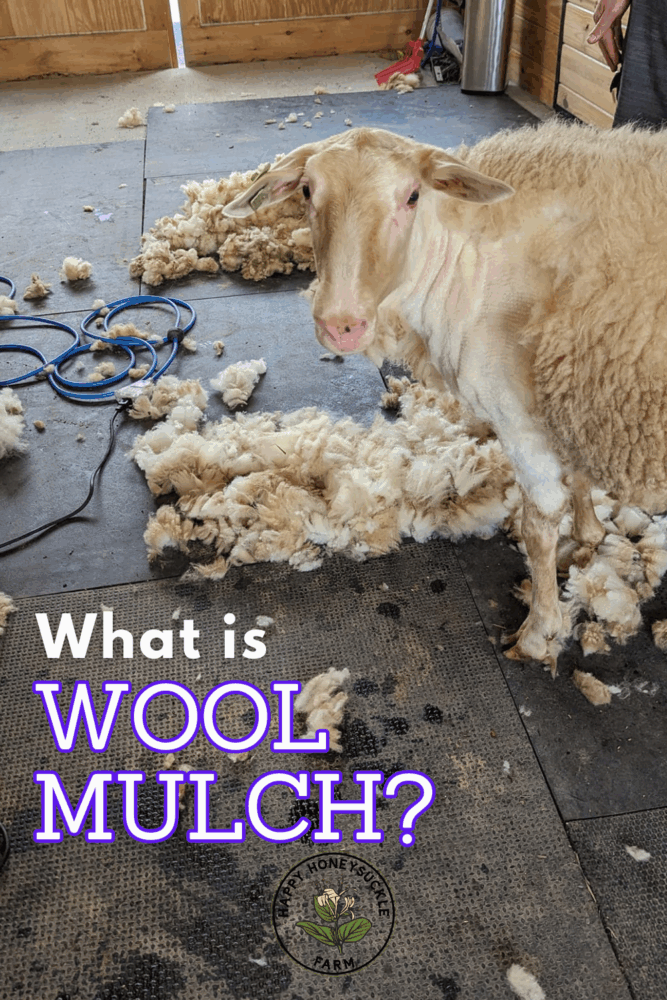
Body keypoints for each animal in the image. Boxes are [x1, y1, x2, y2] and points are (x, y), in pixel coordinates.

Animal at [221, 120, 667, 673]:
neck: (471, 263)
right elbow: (580, 476)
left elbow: (539, 525)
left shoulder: (519, 413)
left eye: (413, 195)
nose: (341, 324)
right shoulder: (567, 393)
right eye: (307, 190)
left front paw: (539, 631)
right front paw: (588, 537)